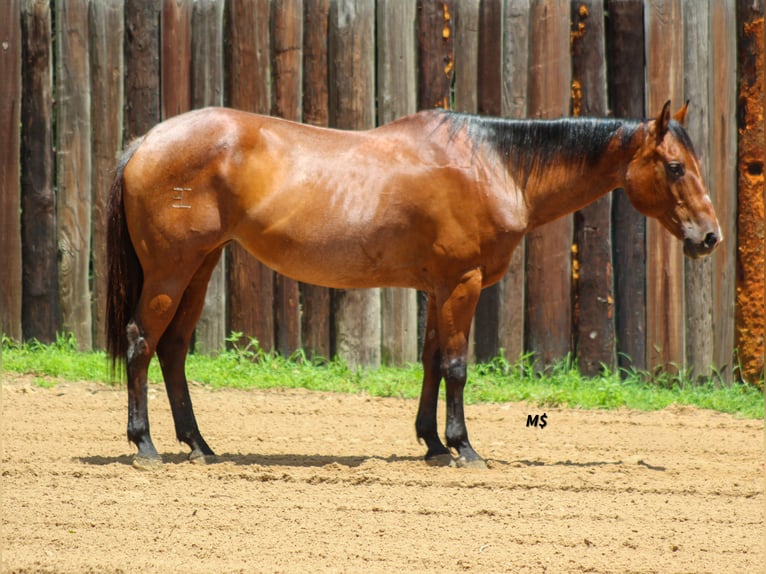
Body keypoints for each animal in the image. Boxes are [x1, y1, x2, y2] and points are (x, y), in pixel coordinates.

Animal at [106, 100, 721, 470]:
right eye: (674, 166)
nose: (709, 236)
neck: (493, 166)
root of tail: (144, 142)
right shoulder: (462, 283)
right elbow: (456, 366)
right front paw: (463, 447)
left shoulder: (437, 289)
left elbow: (430, 363)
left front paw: (431, 443)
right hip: (171, 270)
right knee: (141, 342)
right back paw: (145, 445)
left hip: (201, 266)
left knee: (173, 349)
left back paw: (200, 446)